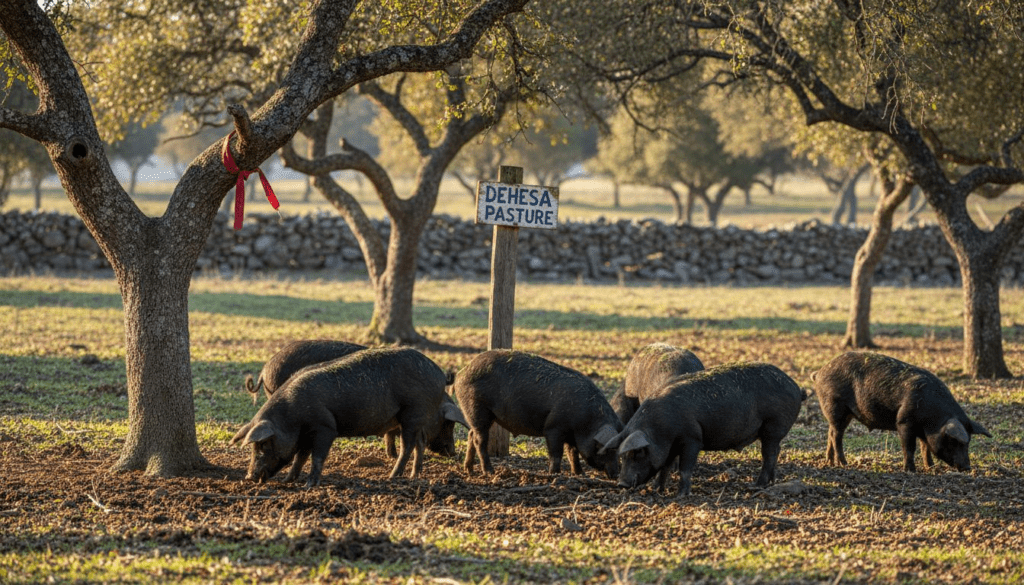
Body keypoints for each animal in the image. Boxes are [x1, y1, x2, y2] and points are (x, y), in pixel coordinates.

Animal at [231, 347, 467, 487]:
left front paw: (309, 485)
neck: (291, 416)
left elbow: (316, 457)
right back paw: (413, 476)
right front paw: (290, 480)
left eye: (263, 445)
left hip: (412, 413)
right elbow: (300, 457)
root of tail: (438, 373)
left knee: (408, 445)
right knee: (419, 443)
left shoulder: (325, 427)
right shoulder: (306, 435)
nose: (249, 477)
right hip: (414, 418)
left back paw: (392, 476)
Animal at [452, 349, 622, 479]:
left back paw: (469, 470)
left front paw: (580, 474)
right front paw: (554, 474)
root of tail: (460, 374)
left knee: (471, 435)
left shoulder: (571, 435)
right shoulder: (553, 428)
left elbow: (572, 453)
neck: (587, 421)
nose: (617, 474)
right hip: (478, 409)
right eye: (608, 449)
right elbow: (557, 453)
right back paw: (490, 472)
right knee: (479, 440)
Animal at [601, 362, 806, 496]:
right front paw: (656, 490)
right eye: (623, 455)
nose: (621, 484)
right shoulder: (670, 446)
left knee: (769, 454)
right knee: (775, 452)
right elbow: (665, 467)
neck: (660, 429)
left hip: (774, 426)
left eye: (638, 453)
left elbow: (685, 469)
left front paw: (681, 496)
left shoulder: (692, 439)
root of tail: (796, 387)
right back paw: (769, 482)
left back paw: (756, 486)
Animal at [812, 351, 992, 472]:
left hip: (844, 414)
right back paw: (843, 464)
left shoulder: (924, 431)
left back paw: (830, 462)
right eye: (954, 441)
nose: (967, 467)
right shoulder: (904, 421)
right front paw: (911, 470)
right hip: (836, 407)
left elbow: (925, 447)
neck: (933, 419)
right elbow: (910, 447)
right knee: (836, 436)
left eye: (968, 442)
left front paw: (930, 467)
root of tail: (819, 372)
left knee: (830, 433)